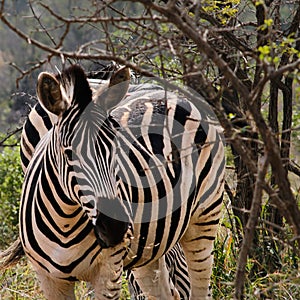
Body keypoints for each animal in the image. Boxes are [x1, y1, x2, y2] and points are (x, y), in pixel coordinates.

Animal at [9, 64, 224, 298]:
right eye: (68, 153)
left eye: (116, 147)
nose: (115, 226)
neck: (65, 223)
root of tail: (174, 94)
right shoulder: (49, 279)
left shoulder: (108, 271)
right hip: (149, 247)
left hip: (204, 216)